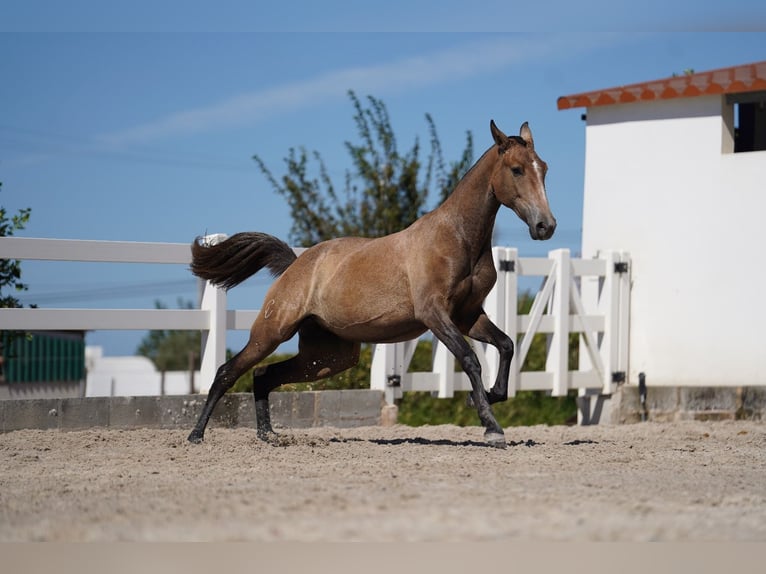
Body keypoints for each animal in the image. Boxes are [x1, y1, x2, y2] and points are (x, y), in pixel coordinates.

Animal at [188, 121, 556, 452]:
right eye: (516, 169)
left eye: (544, 168)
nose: (546, 226)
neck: (458, 238)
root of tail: (296, 263)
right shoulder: (434, 314)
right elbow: (470, 359)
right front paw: (492, 427)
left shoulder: (467, 316)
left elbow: (506, 345)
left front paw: (487, 398)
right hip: (272, 332)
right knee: (228, 371)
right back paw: (196, 435)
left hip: (329, 357)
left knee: (264, 375)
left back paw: (269, 436)